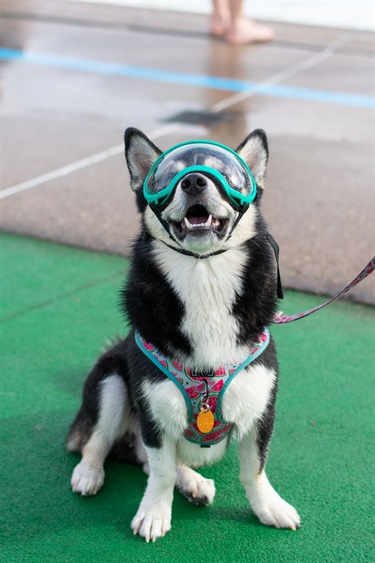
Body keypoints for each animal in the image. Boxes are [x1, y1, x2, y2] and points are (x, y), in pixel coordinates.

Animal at [67, 128, 302, 540]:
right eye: (167, 176)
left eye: (226, 174)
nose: (193, 181)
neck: (203, 275)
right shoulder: (153, 411)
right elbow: (159, 471)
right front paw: (154, 514)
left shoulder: (260, 408)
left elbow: (254, 470)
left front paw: (268, 507)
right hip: (111, 381)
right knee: (99, 442)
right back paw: (90, 473)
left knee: (145, 459)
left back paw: (193, 483)